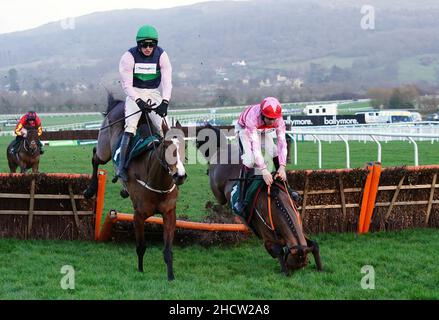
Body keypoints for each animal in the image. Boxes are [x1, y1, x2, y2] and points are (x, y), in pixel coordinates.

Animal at [84, 94, 187, 280]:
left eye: (185, 147)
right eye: (166, 147)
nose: (180, 176)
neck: (156, 182)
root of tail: (117, 104)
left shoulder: (169, 213)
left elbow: (168, 250)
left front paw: (170, 276)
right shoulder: (138, 215)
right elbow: (141, 247)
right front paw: (140, 269)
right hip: (104, 148)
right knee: (95, 156)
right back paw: (90, 189)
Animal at [196, 124, 324, 274]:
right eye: (292, 266)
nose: (294, 270)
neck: (277, 204)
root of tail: (222, 148)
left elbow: (314, 245)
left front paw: (320, 268)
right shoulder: (266, 238)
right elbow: (278, 250)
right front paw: (284, 271)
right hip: (218, 191)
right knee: (222, 199)